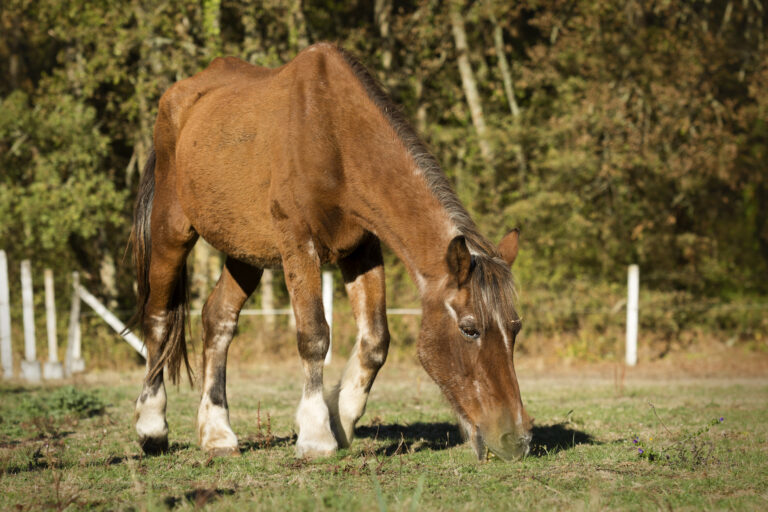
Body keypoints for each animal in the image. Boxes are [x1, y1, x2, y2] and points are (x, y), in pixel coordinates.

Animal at [129, 43, 532, 460]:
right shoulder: (298, 243)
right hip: (171, 230)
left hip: (244, 252)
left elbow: (375, 340)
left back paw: (217, 433)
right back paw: (151, 426)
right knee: (158, 318)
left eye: (515, 328)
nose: (516, 439)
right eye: (469, 329)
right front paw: (316, 434)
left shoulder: (362, 249)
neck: (334, 135)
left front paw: (341, 419)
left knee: (218, 320)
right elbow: (314, 336)